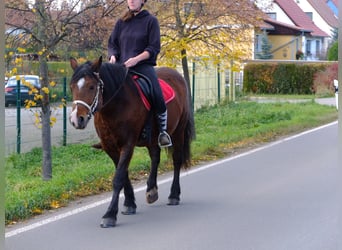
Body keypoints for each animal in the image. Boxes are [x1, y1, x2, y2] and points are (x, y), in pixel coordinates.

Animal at [69, 57, 195, 229]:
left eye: (91, 86)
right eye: (72, 86)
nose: (77, 120)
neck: (116, 105)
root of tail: (176, 74)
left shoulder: (128, 145)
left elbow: (118, 178)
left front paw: (110, 215)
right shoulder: (110, 147)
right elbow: (123, 174)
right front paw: (129, 204)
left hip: (178, 132)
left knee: (177, 160)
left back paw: (174, 195)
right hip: (152, 138)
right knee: (155, 157)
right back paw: (152, 190)